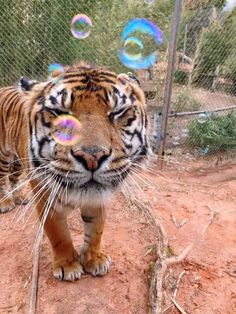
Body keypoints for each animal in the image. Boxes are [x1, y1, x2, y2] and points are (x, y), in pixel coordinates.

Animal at [0, 62, 148, 280]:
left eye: (118, 112)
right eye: (60, 112)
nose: (92, 157)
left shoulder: (98, 196)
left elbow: (96, 230)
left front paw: (94, 260)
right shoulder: (45, 195)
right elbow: (58, 233)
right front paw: (68, 265)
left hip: (18, 162)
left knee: (14, 177)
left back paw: (19, 198)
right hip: (3, 155)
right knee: (2, 178)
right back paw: (6, 203)